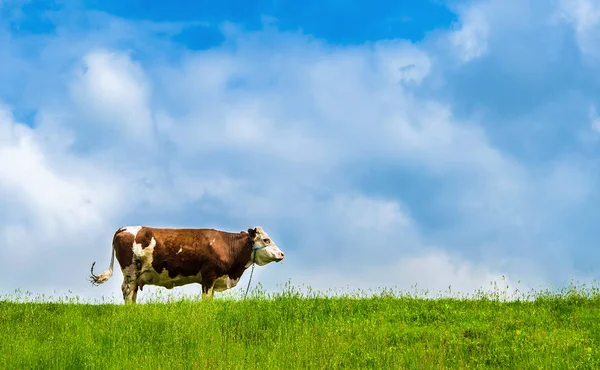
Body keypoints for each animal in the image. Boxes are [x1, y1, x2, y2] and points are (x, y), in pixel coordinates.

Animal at [89, 225, 286, 304]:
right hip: (130, 272)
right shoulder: (208, 275)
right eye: (266, 239)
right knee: (127, 291)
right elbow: (206, 299)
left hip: (135, 275)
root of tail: (124, 228)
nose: (282, 254)